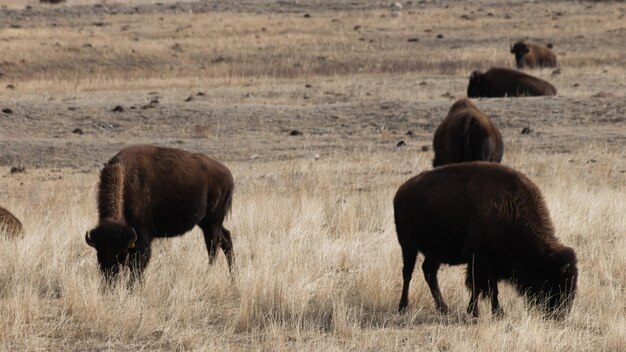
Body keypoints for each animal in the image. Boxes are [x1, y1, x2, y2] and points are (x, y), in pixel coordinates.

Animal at [85, 144, 234, 284]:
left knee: (213, 247)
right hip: (206, 222)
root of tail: (228, 175)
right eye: (99, 253)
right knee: (226, 239)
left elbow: (137, 266)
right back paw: (233, 277)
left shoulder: (141, 238)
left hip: (212, 222)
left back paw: (208, 274)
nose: (109, 279)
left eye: (119, 254)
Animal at [394, 162, 576, 320]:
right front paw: (493, 313)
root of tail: (401, 191)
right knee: (408, 273)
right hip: (408, 245)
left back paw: (443, 308)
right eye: (556, 282)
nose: (561, 314)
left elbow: (480, 287)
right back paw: (403, 307)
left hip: (435, 252)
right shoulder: (480, 261)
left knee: (429, 272)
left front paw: (477, 311)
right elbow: (487, 287)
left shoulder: (486, 264)